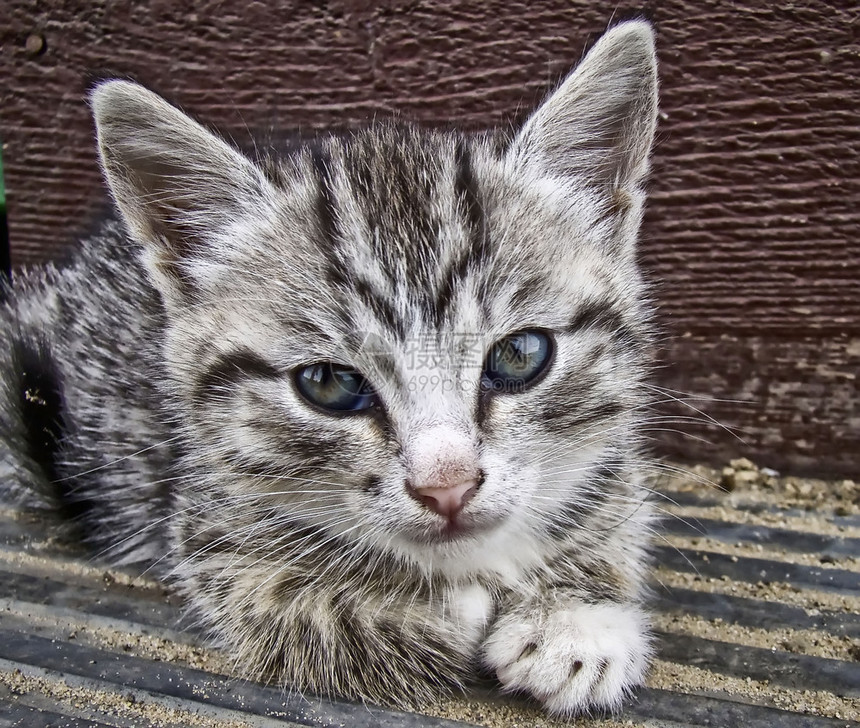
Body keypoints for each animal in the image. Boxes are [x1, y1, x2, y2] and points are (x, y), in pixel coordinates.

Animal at [0, 21, 660, 716]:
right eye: (330, 385)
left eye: (519, 355)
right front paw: (443, 604)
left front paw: (577, 623)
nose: (446, 487)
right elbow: (292, 610)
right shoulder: (206, 522)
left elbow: (614, 509)